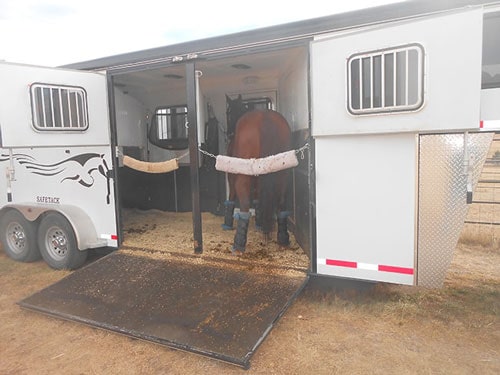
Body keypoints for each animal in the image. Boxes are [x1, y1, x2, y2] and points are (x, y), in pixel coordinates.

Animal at [224, 104, 292, 254]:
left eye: (229, 111)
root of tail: (265, 117)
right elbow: (257, 198)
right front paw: (260, 223)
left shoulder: (232, 175)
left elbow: (231, 197)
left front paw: (227, 224)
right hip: (283, 174)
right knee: (281, 202)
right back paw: (283, 239)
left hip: (243, 176)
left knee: (244, 202)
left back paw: (238, 245)